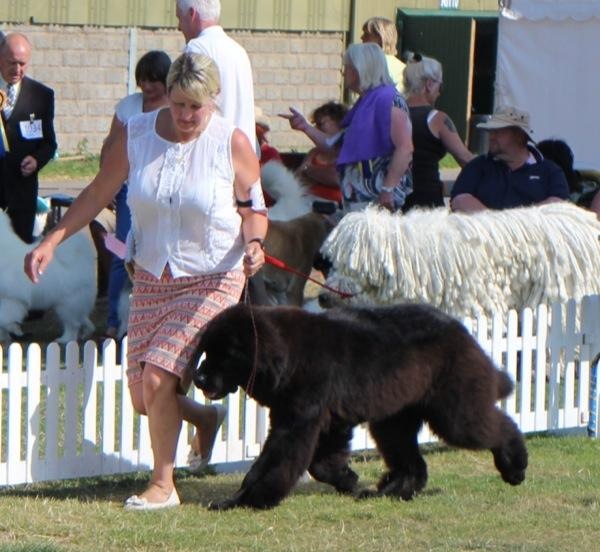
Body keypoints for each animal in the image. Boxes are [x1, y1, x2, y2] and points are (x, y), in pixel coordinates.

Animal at [0, 210, 96, 342]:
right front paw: (5, 337)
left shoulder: (11, 299)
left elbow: (4, 319)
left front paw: (14, 329)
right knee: (82, 319)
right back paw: (87, 331)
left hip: (67, 305)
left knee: (72, 325)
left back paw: (64, 339)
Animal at [191, 302, 524, 508]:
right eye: (207, 351)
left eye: (225, 354)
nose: (198, 377)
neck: (288, 357)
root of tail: (463, 332)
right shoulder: (327, 422)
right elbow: (319, 463)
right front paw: (347, 478)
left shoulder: (297, 422)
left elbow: (272, 464)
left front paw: (246, 500)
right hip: (393, 421)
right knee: (413, 464)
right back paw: (388, 492)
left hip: (454, 412)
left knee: (500, 426)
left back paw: (515, 467)